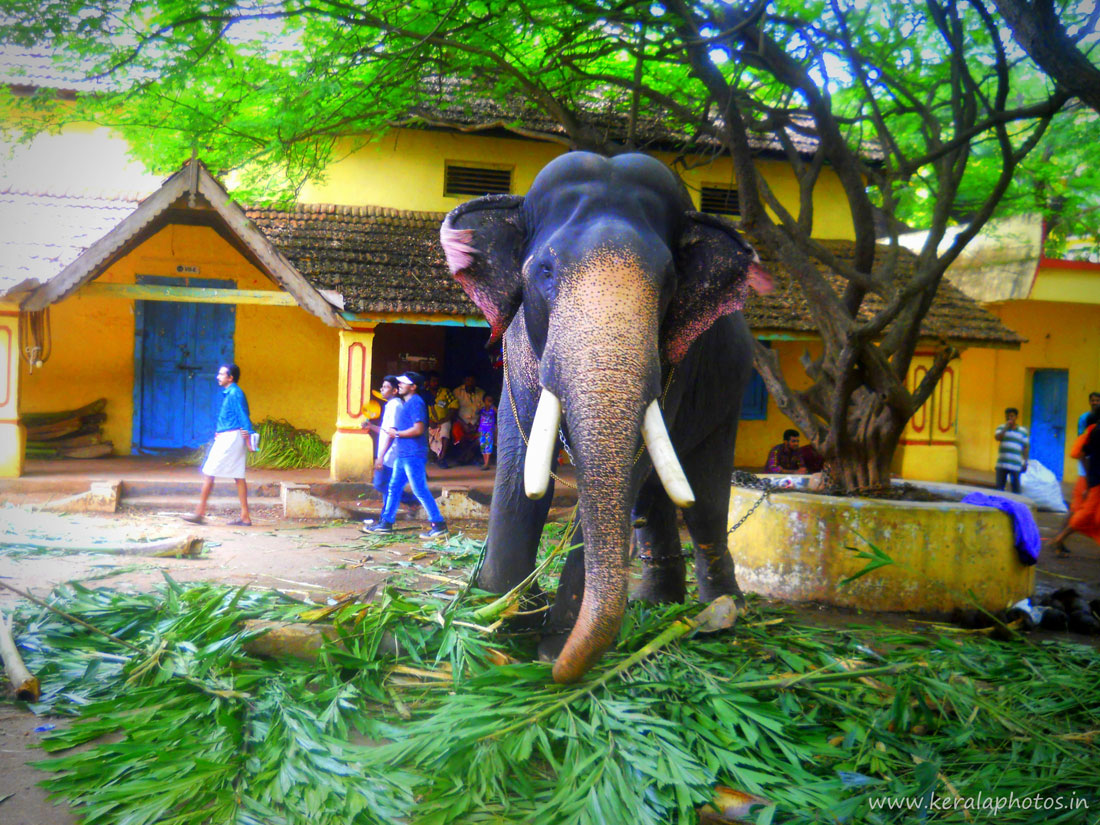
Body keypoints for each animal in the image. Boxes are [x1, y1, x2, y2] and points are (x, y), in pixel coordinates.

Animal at [437, 150, 774, 686]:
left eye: (670, 283)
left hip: (729, 393)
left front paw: (550, 648)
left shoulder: (673, 367)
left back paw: (721, 614)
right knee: (651, 503)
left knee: (702, 500)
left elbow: (631, 468)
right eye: (546, 270)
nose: (561, 672)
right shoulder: (516, 349)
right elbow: (517, 460)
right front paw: (502, 617)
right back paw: (657, 604)